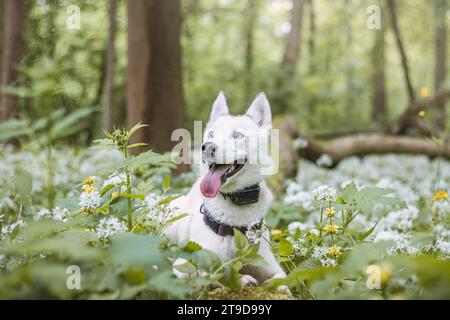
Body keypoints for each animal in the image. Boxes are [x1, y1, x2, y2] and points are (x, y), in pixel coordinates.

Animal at [164, 91, 284, 286]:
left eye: (237, 136)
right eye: (211, 135)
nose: (207, 147)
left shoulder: (271, 266)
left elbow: (281, 279)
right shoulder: (184, 266)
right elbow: (217, 274)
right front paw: (243, 278)